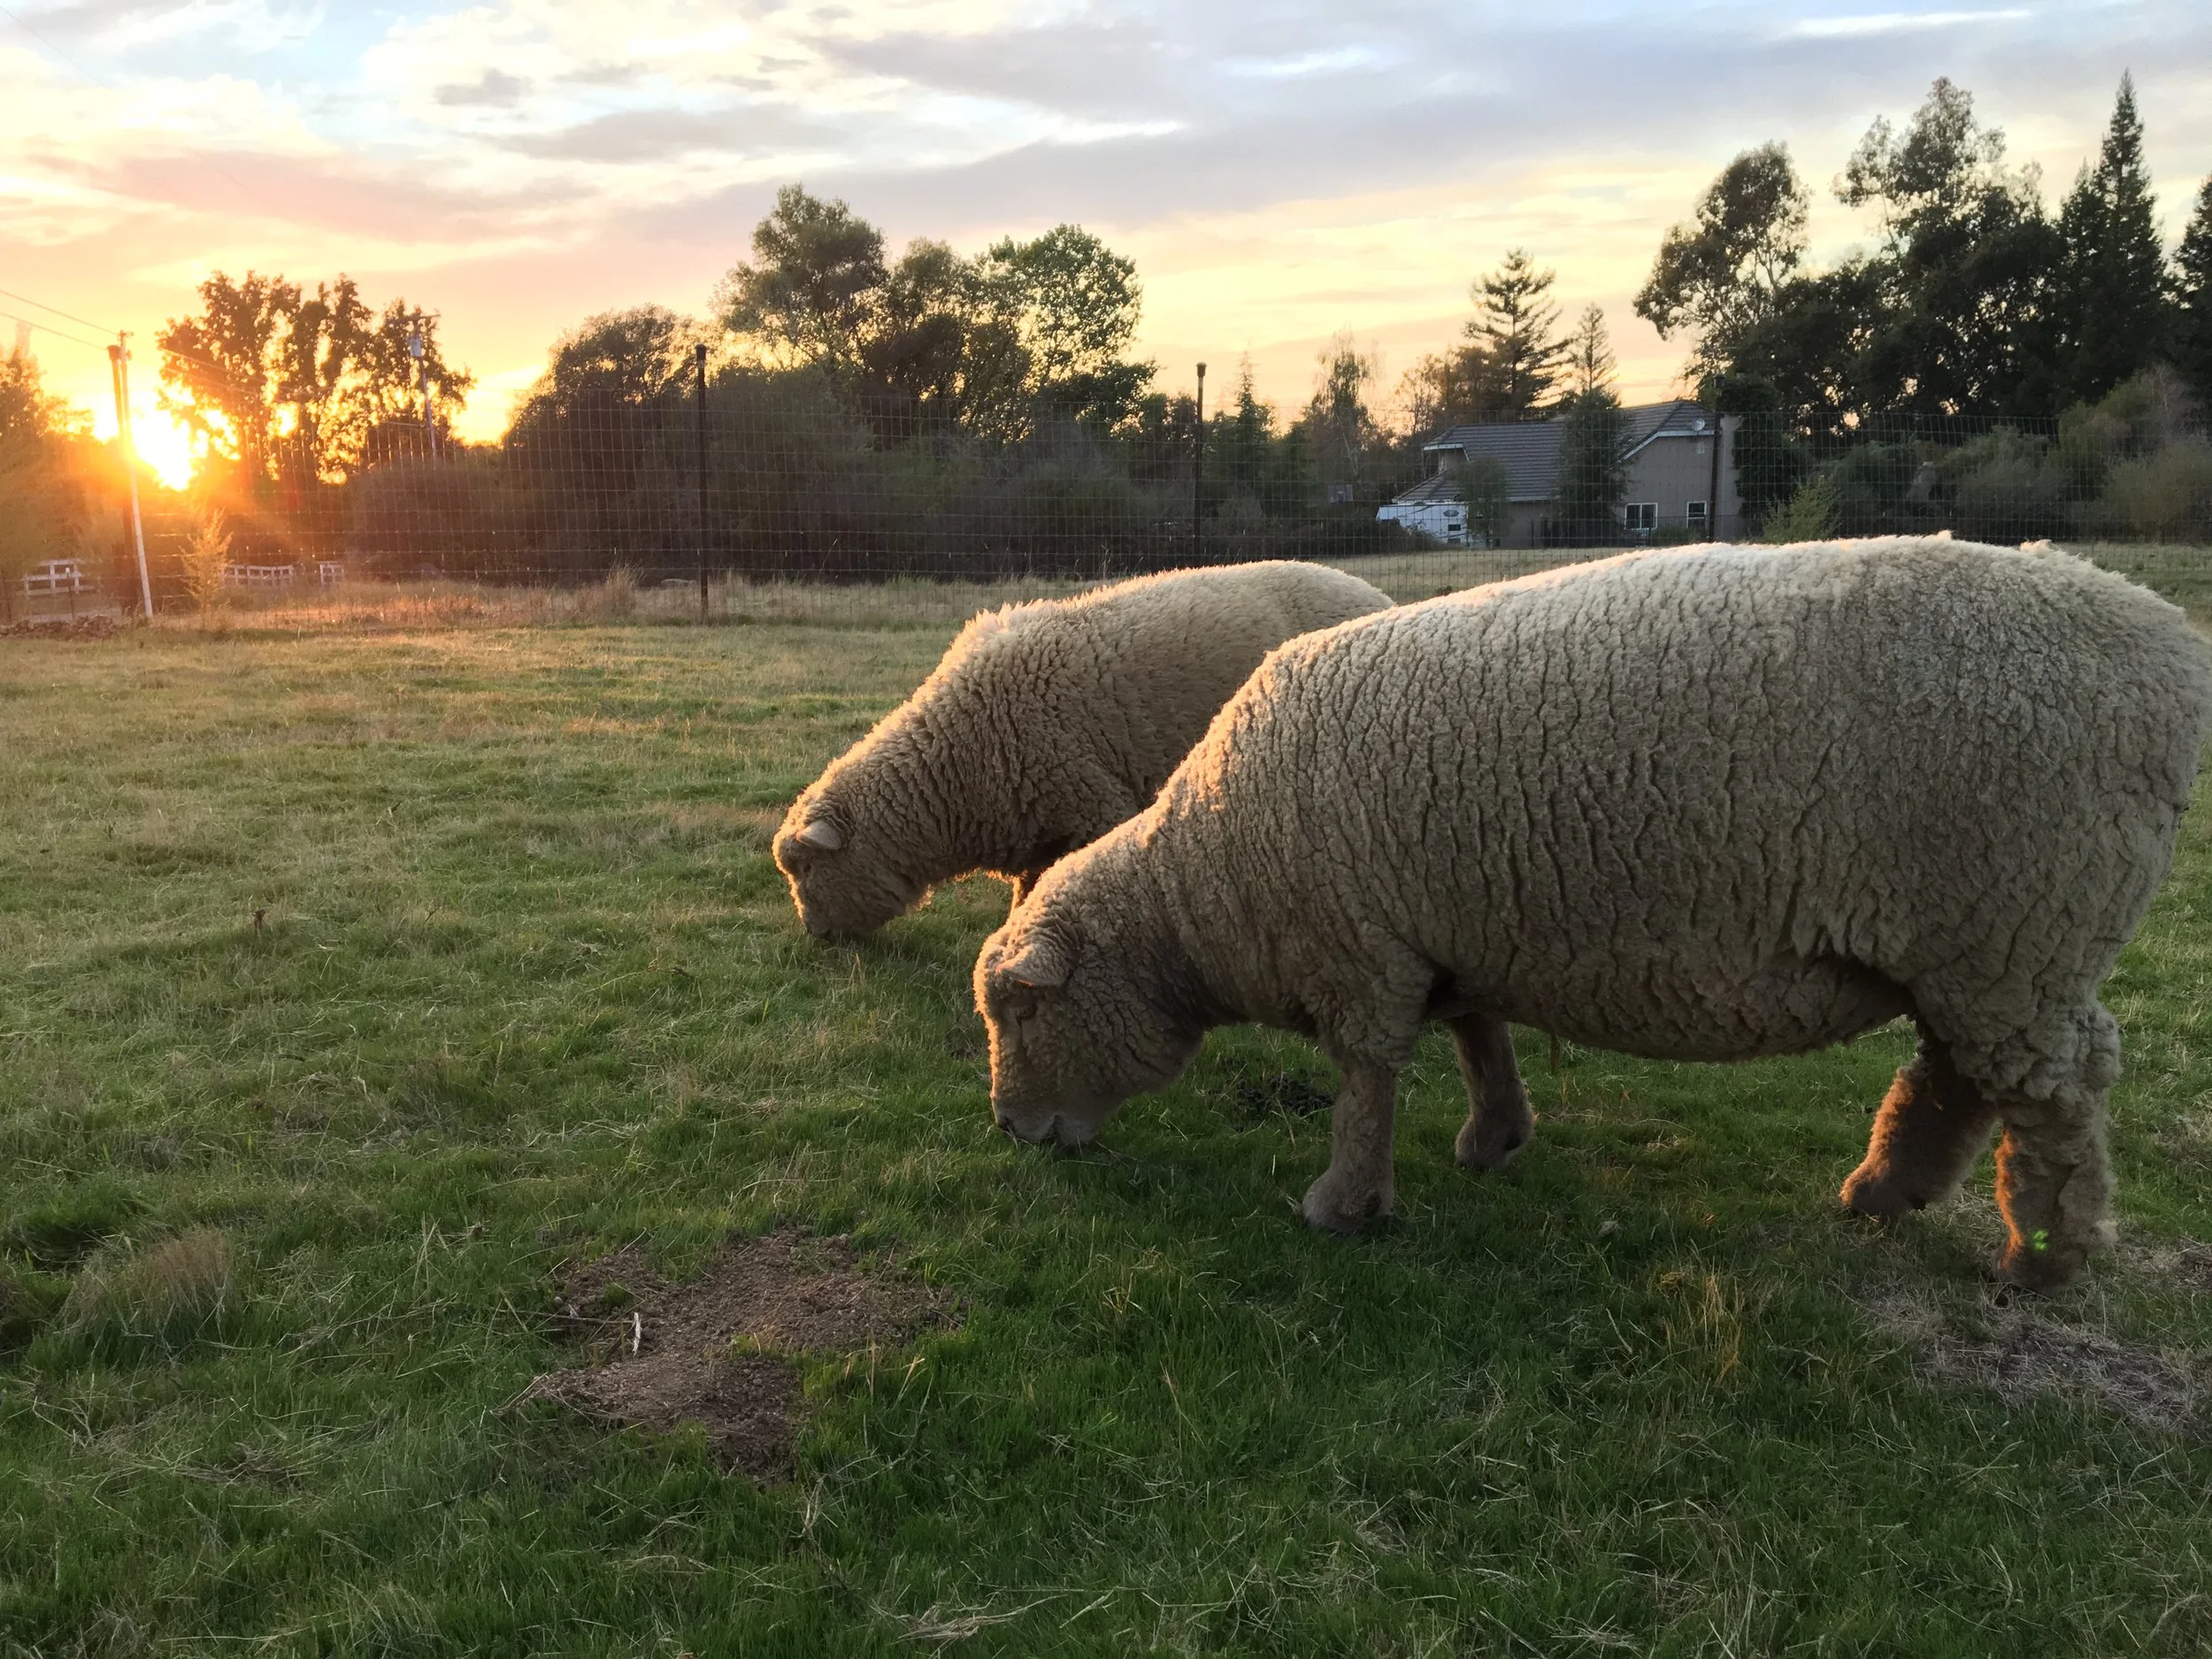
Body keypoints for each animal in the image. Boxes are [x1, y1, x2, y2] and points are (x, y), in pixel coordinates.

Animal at [774, 561, 1392, 939]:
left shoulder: (1089, 805)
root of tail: (1375, 593)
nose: (815, 937)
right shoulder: (1038, 826)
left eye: (807, 868)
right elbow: (1028, 893)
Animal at [974, 538, 2212, 1289]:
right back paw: (1884, 1194)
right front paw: (1495, 1138)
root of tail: (2163, 636)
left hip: (2019, 923)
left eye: (1019, 1016)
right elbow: (1478, 1039)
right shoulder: (1442, 935)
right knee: (1958, 1074)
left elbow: (1365, 1085)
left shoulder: (1358, 953)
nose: (1009, 1132)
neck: (1202, 883)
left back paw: (2043, 1256)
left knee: (2052, 1093)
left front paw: (1342, 1205)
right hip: (1984, 944)